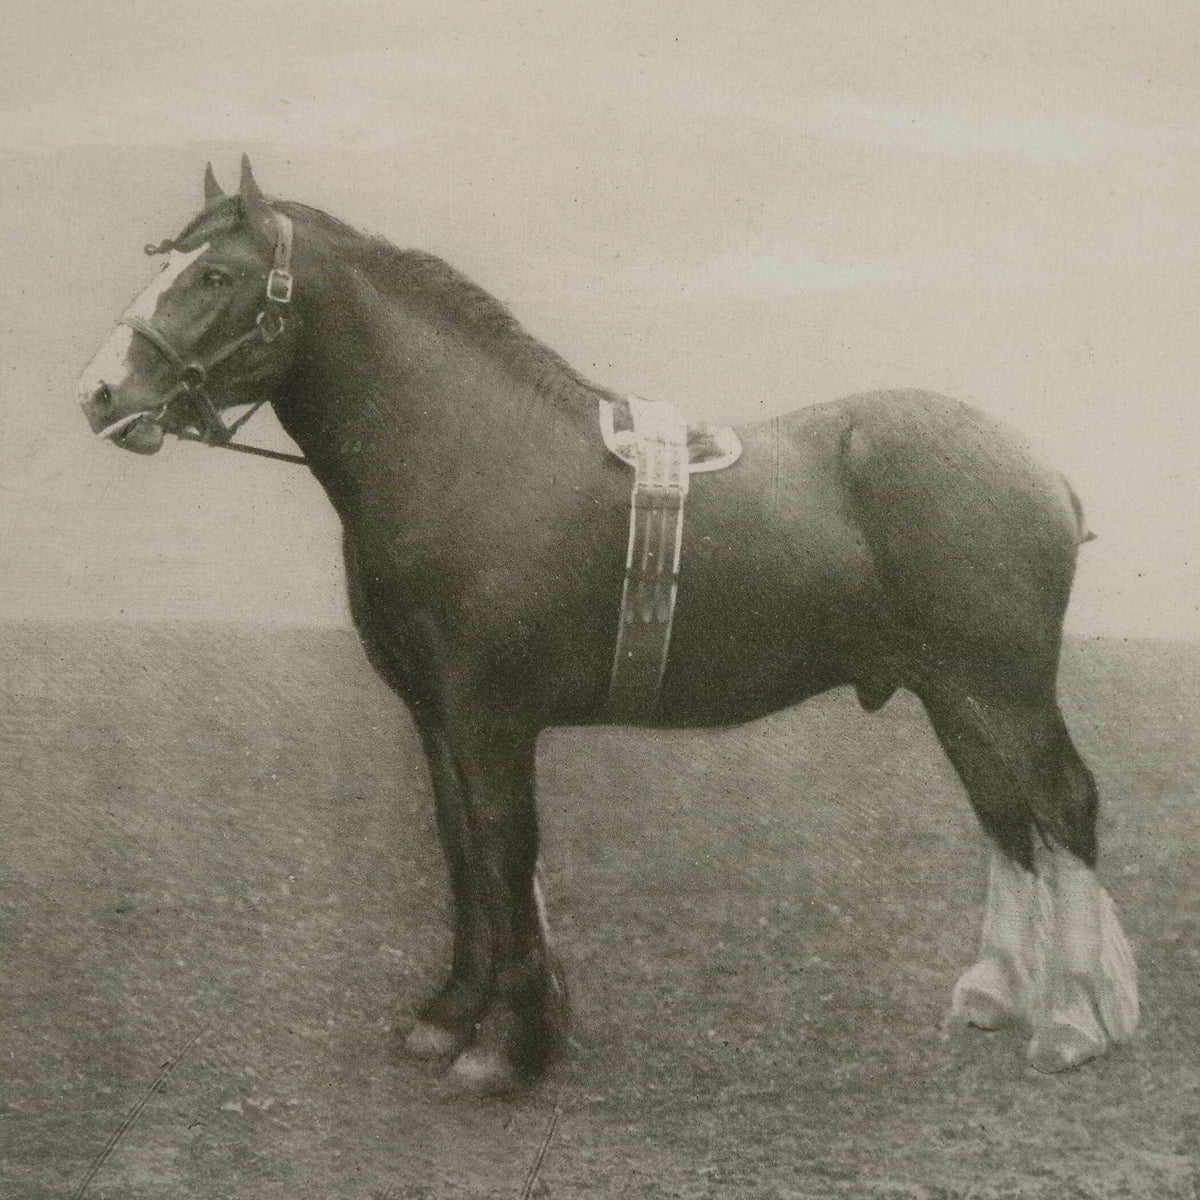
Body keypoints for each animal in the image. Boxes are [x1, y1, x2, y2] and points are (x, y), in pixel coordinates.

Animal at [77, 156, 1139, 1096]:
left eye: (217, 276)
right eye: (168, 258)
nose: (100, 393)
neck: (467, 451)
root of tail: (1040, 468)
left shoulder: (492, 720)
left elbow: (506, 852)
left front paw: (506, 1050)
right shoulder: (437, 720)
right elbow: (462, 854)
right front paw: (449, 1017)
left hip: (1005, 689)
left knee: (1063, 805)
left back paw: (1072, 1023)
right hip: (950, 693)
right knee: (1003, 816)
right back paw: (996, 993)